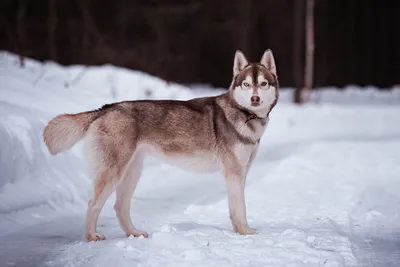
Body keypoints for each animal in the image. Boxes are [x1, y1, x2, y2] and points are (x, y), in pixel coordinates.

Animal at [42, 49, 276, 242]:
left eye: (263, 84)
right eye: (246, 84)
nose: (255, 99)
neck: (245, 114)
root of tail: (105, 109)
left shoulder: (239, 173)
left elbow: (235, 209)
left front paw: (238, 231)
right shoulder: (234, 173)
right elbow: (241, 208)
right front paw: (245, 232)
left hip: (132, 172)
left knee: (120, 206)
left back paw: (134, 233)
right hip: (113, 173)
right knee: (93, 204)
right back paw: (92, 236)